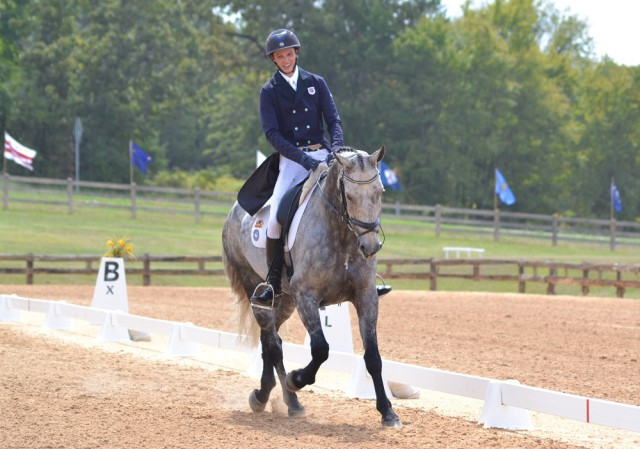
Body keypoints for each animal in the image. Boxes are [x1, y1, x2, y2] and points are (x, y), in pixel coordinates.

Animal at [220, 146, 400, 428]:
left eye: (379, 192)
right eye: (349, 196)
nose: (370, 247)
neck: (342, 234)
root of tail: (234, 210)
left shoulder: (366, 296)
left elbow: (373, 357)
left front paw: (388, 412)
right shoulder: (307, 297)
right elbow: (321, 349)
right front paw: (296, 380)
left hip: (284, 301)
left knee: (270, 338)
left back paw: (264, 394)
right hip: (254, 286)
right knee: (273, 343)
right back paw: (290, 399)